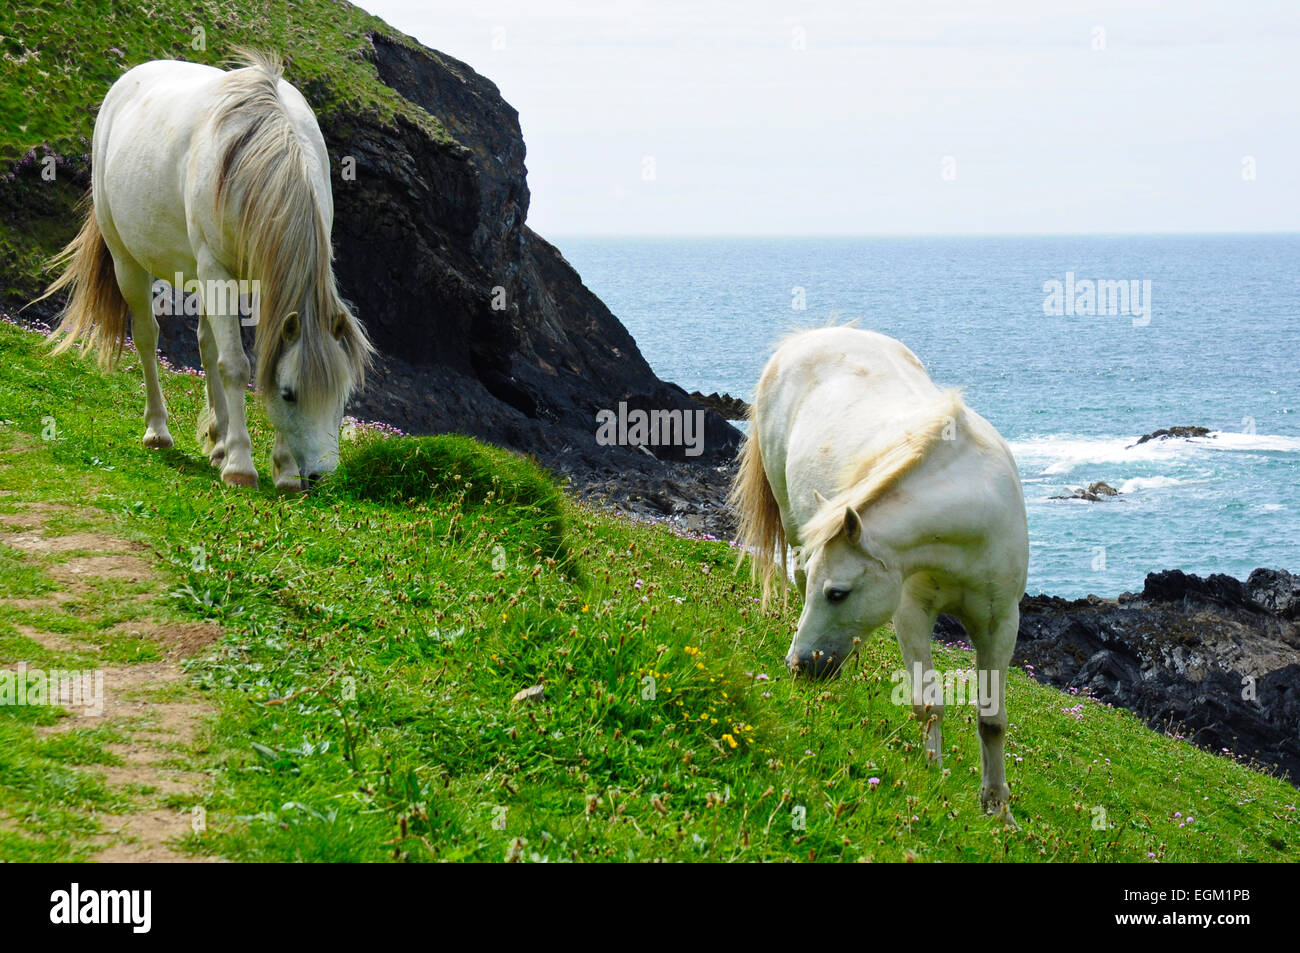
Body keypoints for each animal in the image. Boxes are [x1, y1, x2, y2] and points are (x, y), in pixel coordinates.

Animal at [39, 50, 373, 490]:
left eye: (341, 397)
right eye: (289, 394)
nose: (321, 475)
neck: (261, 153)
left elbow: (259, 356)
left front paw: (281, 468)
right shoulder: (216, 271)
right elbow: (236, 366)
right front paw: (241, 466)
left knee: (205, 343)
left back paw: (218, 442)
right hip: (130, 262)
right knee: (146, 337)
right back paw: (159, 432)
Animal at [730, 325, 1028, 824]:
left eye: (838, 593)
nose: (798, 666)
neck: (972, 525)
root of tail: (809, 336)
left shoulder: (1000, 622)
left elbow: (992, 721)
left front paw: (999, 811)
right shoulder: (911, 613)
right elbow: (928, 703)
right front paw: (933, 777)